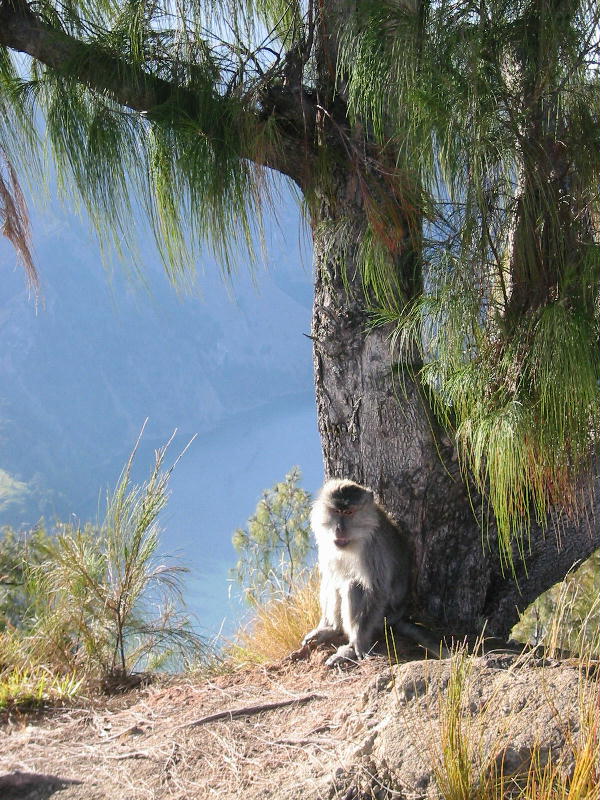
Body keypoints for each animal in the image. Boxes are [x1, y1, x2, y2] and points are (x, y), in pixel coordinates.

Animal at [302, 478, 448, 664]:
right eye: (336, 511)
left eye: (349, 512)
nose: (339, 529)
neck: (356, 539)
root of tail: (399, 614)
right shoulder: (327, 542)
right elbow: (329, 576)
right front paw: (326, 626)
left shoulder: (372, 547)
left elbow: (376, 589)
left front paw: (358, 642)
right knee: (336, 581)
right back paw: (332, 629)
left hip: (382, 618)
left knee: (353, 586)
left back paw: (349, 648)